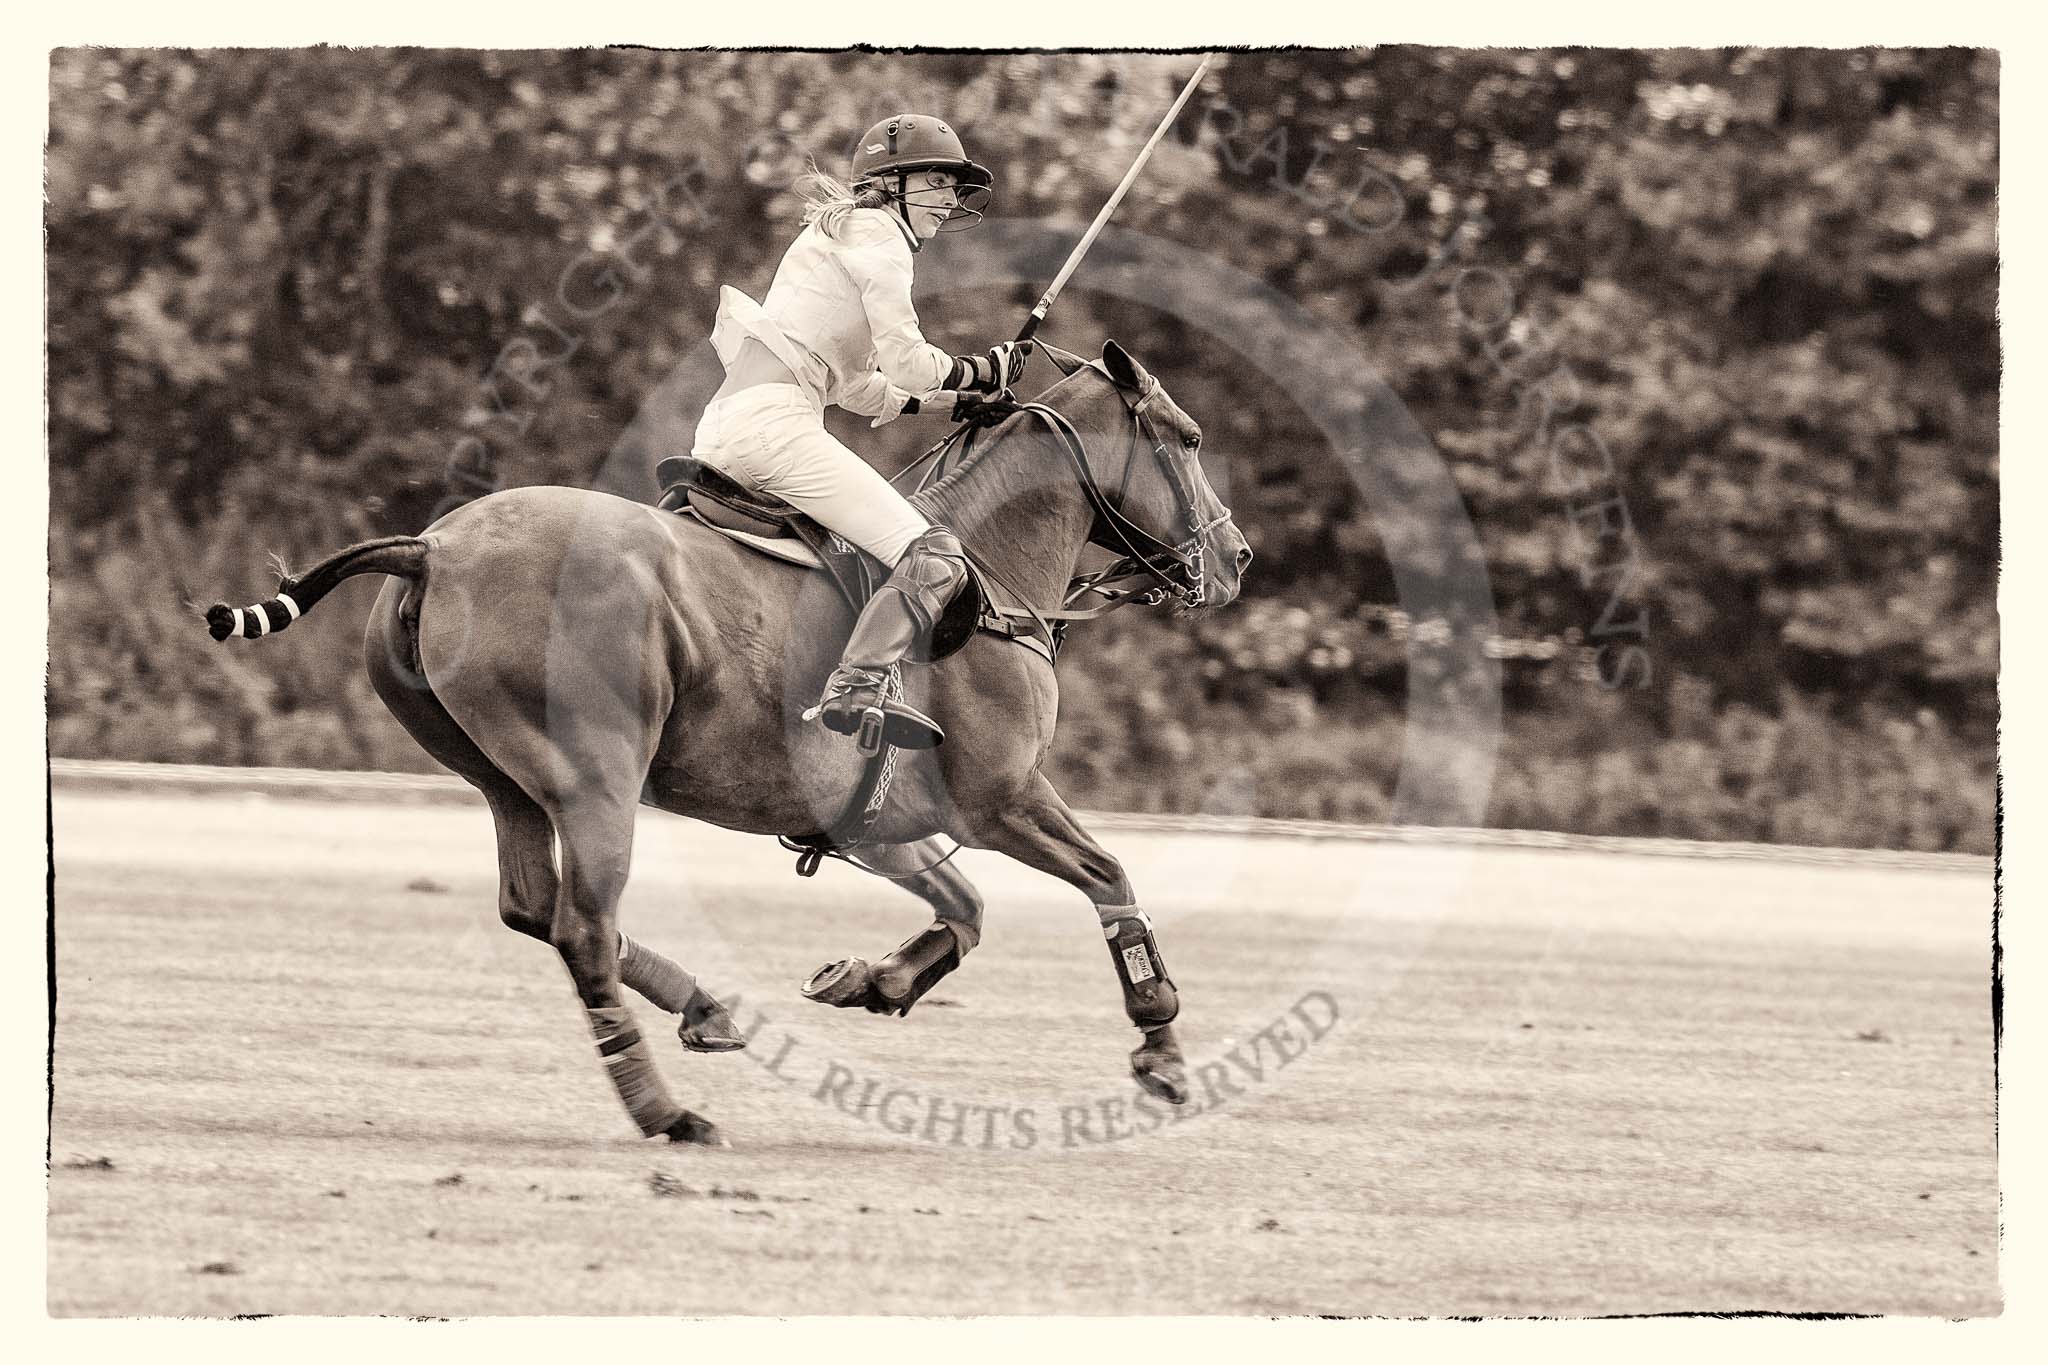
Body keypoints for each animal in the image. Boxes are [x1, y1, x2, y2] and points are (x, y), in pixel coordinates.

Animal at [216, 341, 1253, 1146]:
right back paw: (667, 1114)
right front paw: (1160, 1046)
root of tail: (432, 548)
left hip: (499, 777)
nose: (1235, 558)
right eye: (1190, 437)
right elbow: (1109, 874)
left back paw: (706, 1012)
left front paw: (872, 980)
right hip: (598, 777)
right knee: (579, 926)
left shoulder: (875, 818)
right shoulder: (999, 796)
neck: (994, 576)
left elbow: (964, 907)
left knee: (533, 907)